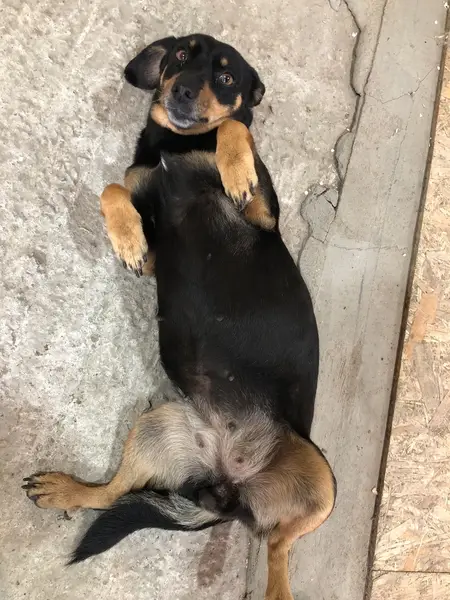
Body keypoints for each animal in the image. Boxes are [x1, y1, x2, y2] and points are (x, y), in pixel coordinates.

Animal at [23, 34, 336, 600]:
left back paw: (278, 589)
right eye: (181, 56)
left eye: (228, 78)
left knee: (279, 546)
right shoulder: (152, 254)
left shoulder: (261, 215)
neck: (176, 147)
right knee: (110, 494)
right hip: (155, 426)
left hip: (322, 482)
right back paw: (65, 490)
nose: (185, 91)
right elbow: (113, 189)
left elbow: (235, 129)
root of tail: (228, 486)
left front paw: (234, 161)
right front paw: (125, 234)